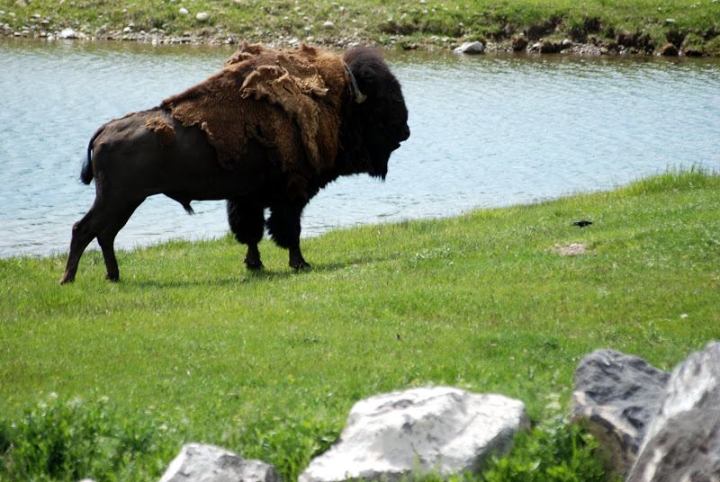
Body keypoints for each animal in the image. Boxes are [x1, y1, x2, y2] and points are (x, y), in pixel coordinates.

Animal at [60, 44, 410, 282]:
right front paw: (299, 263)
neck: (336, 102)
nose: (405, 131)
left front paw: (255, 264)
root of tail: (104, 130)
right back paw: (70, 279)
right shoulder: (290, 196)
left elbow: (251, 232)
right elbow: (287, 231)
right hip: (118, 198)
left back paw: (112, 276)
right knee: (85, 229)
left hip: (127, 201)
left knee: (105, 234)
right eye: (382, 101)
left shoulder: (248, 198)